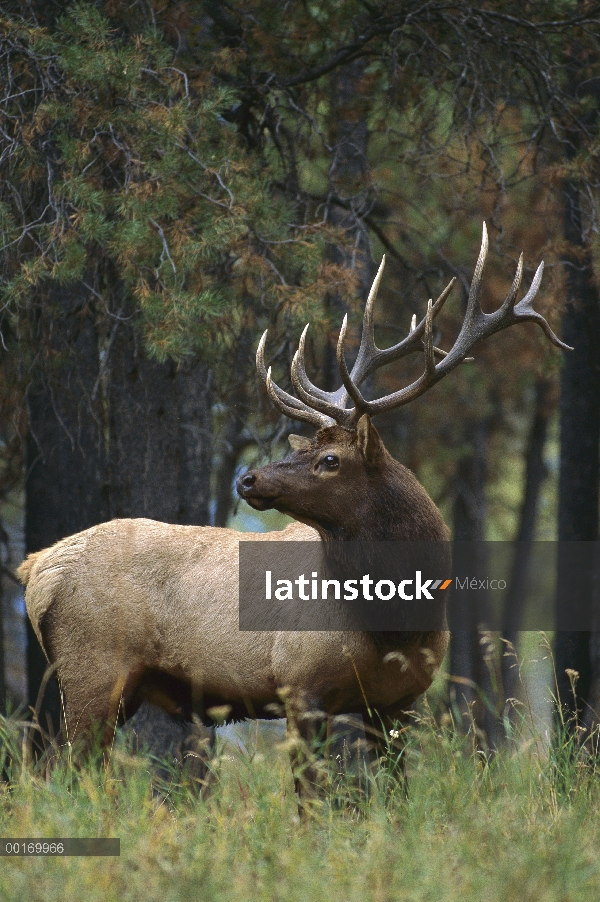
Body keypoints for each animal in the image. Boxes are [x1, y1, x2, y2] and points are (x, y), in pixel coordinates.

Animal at [15, 226, 568, 800]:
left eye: (330, 459)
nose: (248, 479)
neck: (397, 625)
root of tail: (36, 568)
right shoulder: (300, 685)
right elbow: (310, 797)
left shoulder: (398, 702)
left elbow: (396, 794)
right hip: (91, 670)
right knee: (61, 772)